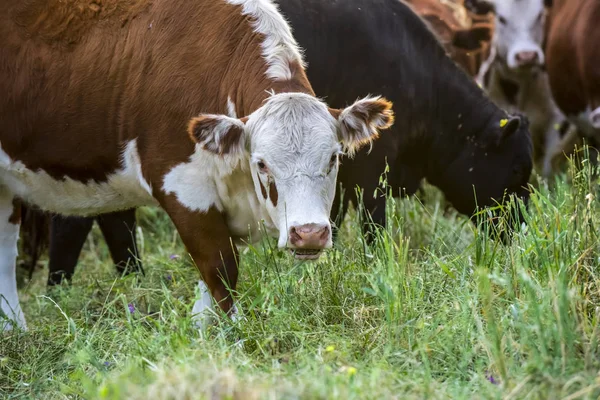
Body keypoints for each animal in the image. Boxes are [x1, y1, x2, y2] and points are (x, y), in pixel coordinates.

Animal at [0, 0, 394, 332]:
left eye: (333, 157)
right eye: (262, 163)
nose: (309, 233)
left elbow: (212, 283)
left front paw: (204, 333)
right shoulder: (181, 186)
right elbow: (220, 269)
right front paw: (235, 337)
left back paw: (14, 330)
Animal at [23, 0, 532, 286]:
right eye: (518, 171)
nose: (526, 231)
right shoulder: (373, 171)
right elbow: (372, 229)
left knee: (112, 222)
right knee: (74, 225)